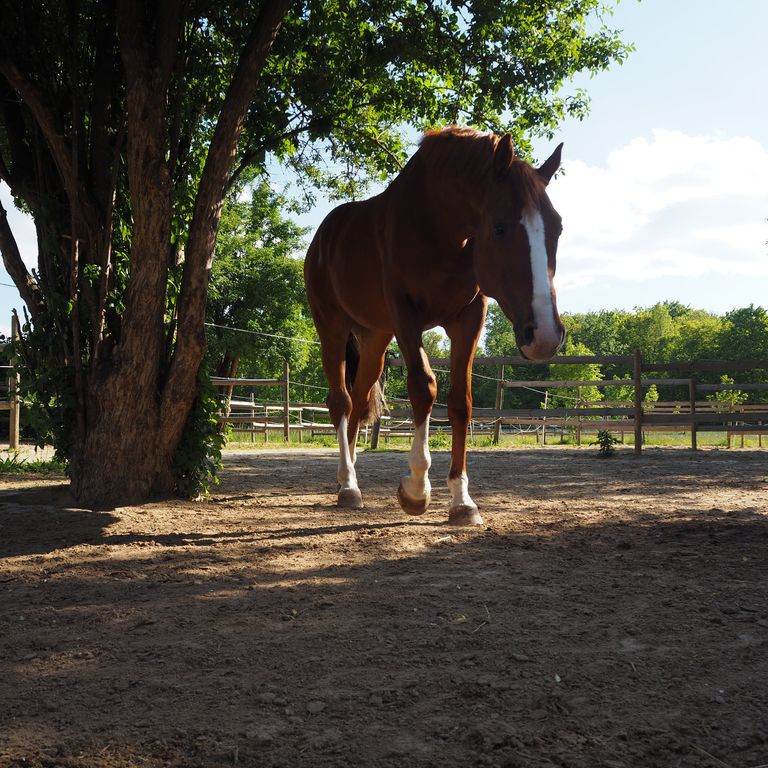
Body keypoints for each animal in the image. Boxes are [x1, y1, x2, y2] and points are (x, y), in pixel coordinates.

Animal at [304, 126, 564, 524]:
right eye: (500, 228)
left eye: (558, 228)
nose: (545, 336)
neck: (437, 225)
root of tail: (325, 234)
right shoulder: (406, 316)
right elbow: (423, 388)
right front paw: (416, 490)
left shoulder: (468, 319)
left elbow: (461, 403)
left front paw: (462, 500)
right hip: (331, 325)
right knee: (341, 403)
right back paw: (348, 485)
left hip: (375, 338)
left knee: (360, 401)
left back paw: (348, 478)